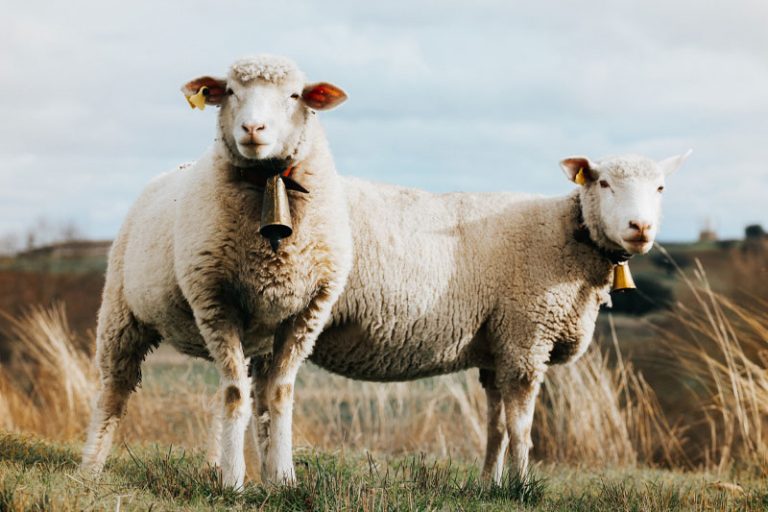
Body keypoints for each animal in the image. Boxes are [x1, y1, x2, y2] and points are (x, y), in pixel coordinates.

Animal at [80, 55, 353, 487]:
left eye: (295, 95)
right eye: (231, 91)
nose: (253, 129)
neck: (269, 182)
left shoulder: (307, 313)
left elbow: (279, 395)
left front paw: (283, 479)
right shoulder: (215, 300)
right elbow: (234, 395)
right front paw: (233, 483)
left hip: (257, 336)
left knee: (255, 393)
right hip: (121, 315)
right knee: (114, 391)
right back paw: (90, 468)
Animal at [251, 150, 691, 483]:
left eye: (660, 188)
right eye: (603, 183)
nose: (640, 227)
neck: (566, 237)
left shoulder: (498, 349)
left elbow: (496, 428)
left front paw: (489, 484)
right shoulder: (525, 338)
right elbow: (521, 428)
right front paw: (521, 486)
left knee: (259, 401)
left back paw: (266, 475)